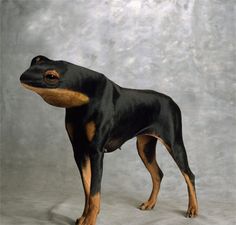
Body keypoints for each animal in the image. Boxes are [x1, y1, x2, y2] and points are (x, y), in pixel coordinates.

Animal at [19, 55, 197, 225]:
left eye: (50, 76)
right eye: (34, 62)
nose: (22, 76)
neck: (85, 99)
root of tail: (173, 102)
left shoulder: (96, 152)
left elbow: (94, 192)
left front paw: (90, 221)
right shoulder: (79, 151)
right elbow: (88, 189)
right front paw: (84, 217)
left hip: (174, 144)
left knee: (189, 175)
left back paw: (193, 209)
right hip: (144, 147)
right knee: (158, 174)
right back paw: (150, 203)